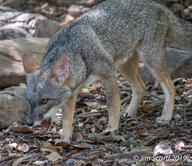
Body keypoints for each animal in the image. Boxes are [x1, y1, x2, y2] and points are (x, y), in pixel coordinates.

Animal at [25, 0, 192, 143]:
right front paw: (64, 139)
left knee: (170, 87)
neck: (77, 51)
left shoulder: (108, 74)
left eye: (44, 100)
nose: (28, 122)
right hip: (124, 66)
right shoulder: (72, 91)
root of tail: (158, 5)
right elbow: (67, 118)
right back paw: (129, 113)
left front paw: (111, 128)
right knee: (141, 87)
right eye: (29, 101)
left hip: (150, 60)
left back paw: (166, 116)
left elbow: (112, 104)